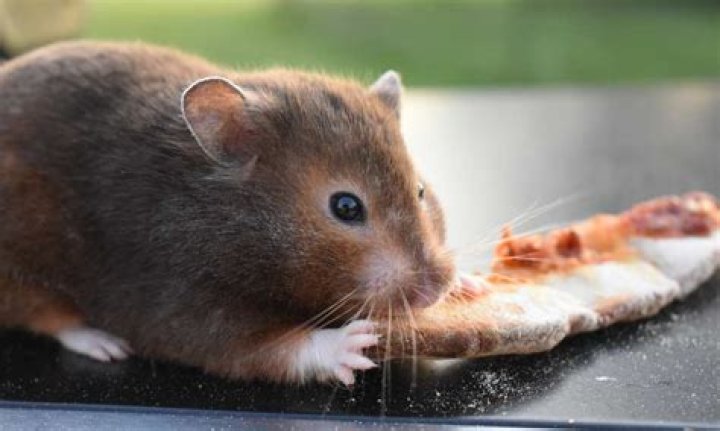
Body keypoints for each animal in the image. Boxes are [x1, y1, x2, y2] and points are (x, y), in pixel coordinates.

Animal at [0, 41, 455, 384]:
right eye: (346, 207)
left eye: (419, 190)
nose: (435, 290)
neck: (234, 221)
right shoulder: (179, 298)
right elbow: (262, 347)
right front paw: (353, 346)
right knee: (47, 314)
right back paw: (103, 343)